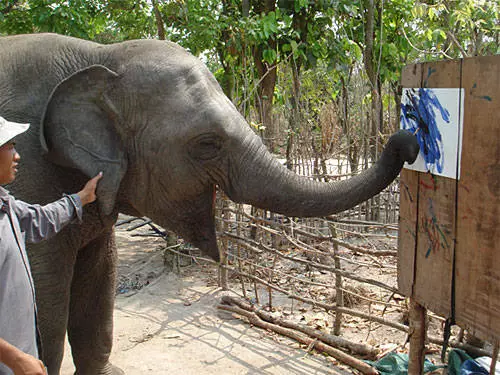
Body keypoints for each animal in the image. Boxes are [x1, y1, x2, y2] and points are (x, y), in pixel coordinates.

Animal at [0, 33, 420, 375]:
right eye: (207, 144)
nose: (408, 141)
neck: (99, 55)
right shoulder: (29, 172)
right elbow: (45, 307)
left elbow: (99, 289)